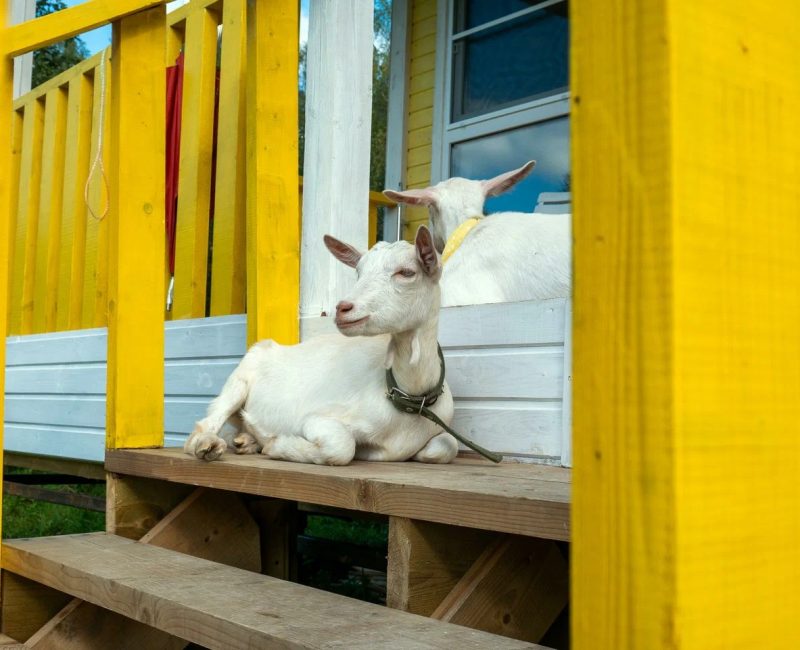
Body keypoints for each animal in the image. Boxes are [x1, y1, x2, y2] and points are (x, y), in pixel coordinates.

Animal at [183, 226, 458, 466]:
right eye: (358, 272)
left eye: (406, 272)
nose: (343, 307)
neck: (408, 395)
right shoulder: (319, 419)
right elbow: (342, 447)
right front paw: (278, 445)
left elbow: (448, 446)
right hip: (239, 380)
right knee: (203, 425)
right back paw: (208, 445)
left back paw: (245, 442)